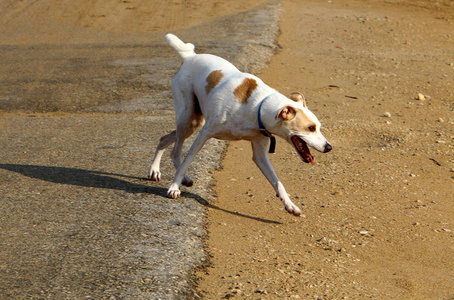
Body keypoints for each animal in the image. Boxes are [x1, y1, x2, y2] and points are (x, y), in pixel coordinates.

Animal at [147, 34, 332, 216]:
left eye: (319, 127)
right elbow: (188, 160)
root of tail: (190, 56)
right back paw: (175, 179)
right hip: (188, 118)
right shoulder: (205, 134)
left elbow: (277, 182)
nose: (329, 147)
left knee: (164, 139)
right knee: (176, 152)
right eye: (311, 128)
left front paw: (290, 205)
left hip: (194, 122)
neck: (257, 107)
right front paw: (173, 188)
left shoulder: (259, 153)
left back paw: (157, 171)